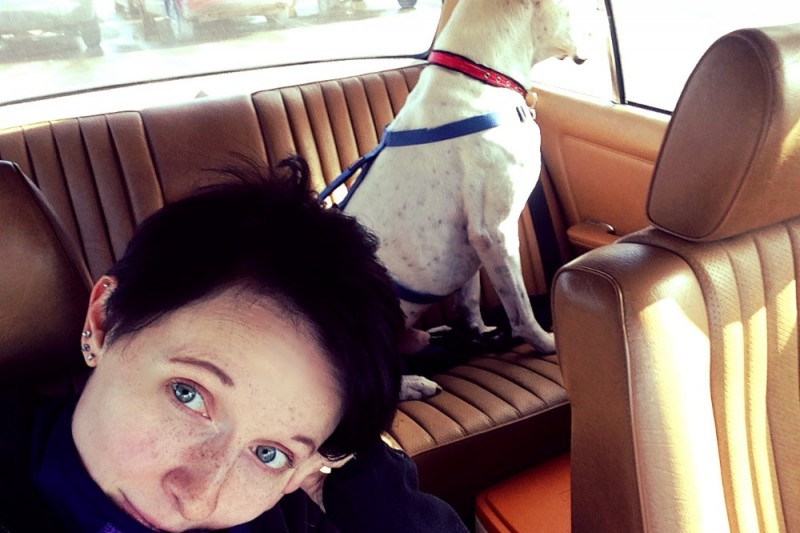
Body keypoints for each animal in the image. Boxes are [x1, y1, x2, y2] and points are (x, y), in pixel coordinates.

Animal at [327, 0, 597, 400]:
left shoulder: (470, 240)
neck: (480, 77)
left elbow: (469, 296)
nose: (600, 14)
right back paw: (412, 384)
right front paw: (546, 343)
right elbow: (519, 308)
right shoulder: (495, 232)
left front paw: (477, 332)